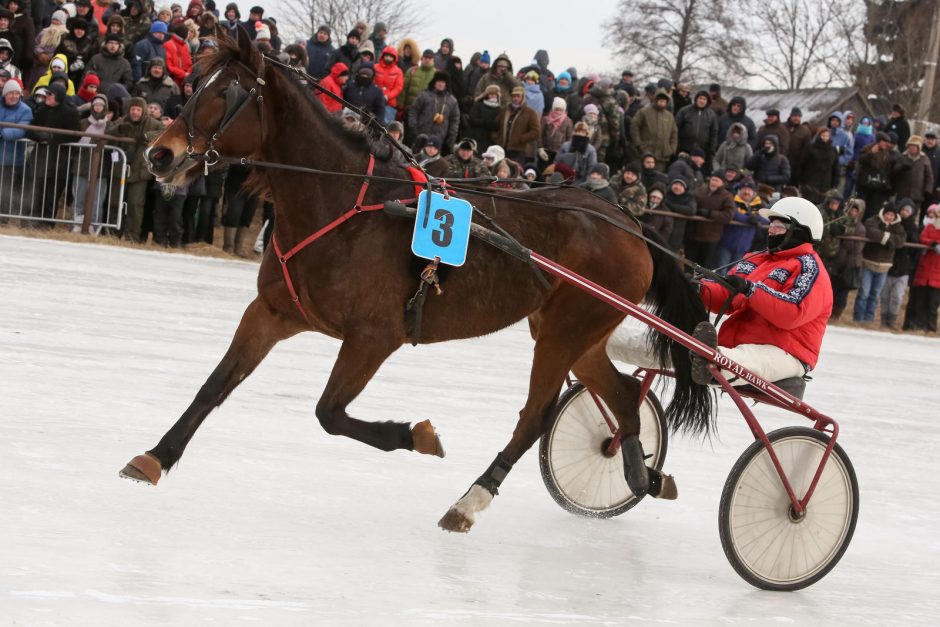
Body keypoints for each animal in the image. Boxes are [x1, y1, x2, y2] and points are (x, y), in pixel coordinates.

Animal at [123, 27, 712, 532]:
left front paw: (418, 436)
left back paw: (470, 501)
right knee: (622, 397)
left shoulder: (373, 337)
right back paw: (641, 473)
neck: (343, 205)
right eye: (195, 86)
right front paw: (154, 457)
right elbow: (215, 385)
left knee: (536, 416)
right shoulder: (272, 312)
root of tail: (629, 224)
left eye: (226, 94)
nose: (159, 154)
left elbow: (329, 413)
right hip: (574, 330)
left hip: (568, 330)